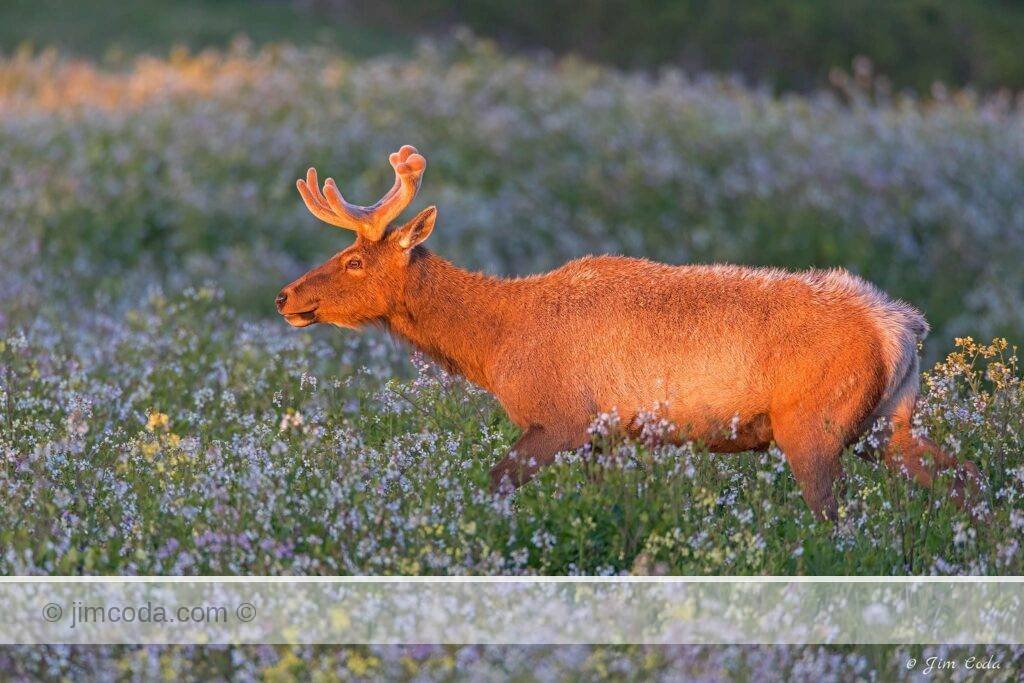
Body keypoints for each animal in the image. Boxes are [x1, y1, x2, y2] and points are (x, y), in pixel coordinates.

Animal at [276, 144, 984, 520]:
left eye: (354, 260)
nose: (287, 296)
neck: (501, 342)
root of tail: (900, 327)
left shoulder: (561, 416)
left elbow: (494, 483)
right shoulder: (605, 436)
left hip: (812, 425)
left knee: (836, 519)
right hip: (886, 423)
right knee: (966, 478)